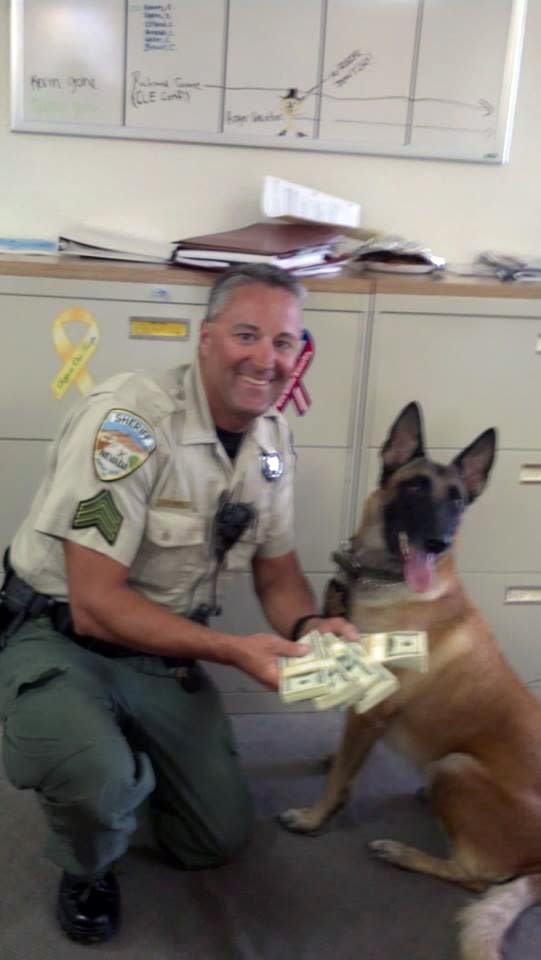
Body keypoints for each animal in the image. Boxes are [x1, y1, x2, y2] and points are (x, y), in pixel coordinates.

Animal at [278, 404, 540, 960]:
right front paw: (334, 761)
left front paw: (313, 818)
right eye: (416, 488)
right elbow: (345, 760)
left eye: (457, 499)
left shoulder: (372, 711)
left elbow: (340, 780)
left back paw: (400, 851)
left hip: (456, 766)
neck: (391, 583)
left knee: (477, 877)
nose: (438, 541)